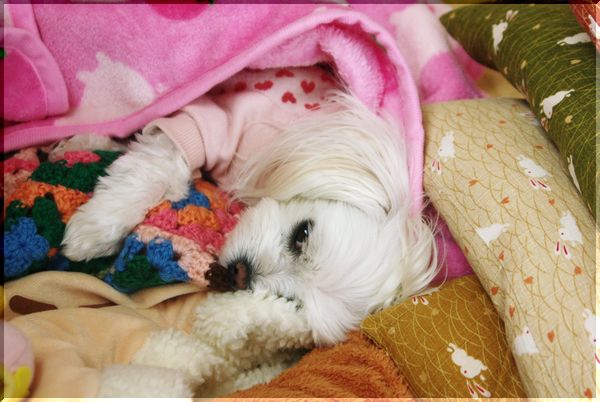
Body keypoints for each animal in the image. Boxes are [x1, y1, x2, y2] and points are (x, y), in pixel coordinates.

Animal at [62, 89, 439, 346]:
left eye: (290, 300)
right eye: (302, 233)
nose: (240, 274)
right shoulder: (215, 120)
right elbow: (159, 161)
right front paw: (94, 230)